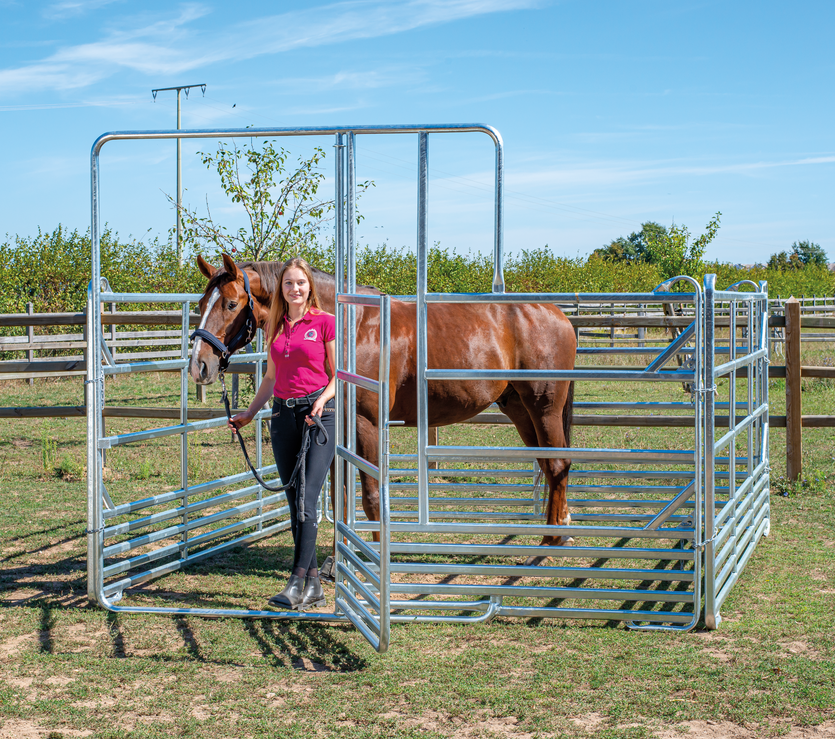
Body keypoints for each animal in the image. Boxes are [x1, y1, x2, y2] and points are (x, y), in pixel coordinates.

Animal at [191, 254, 576, 548]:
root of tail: (558, 315)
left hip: (544, 408)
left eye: (230, 303)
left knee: (558, 465)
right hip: (520, 409)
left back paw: (550, 543)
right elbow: (339, 495)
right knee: (548, 465)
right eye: (200, 304)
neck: (351, 327)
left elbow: (372, 498)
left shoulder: (367, 425)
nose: (199, 365)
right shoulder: (334, 429)